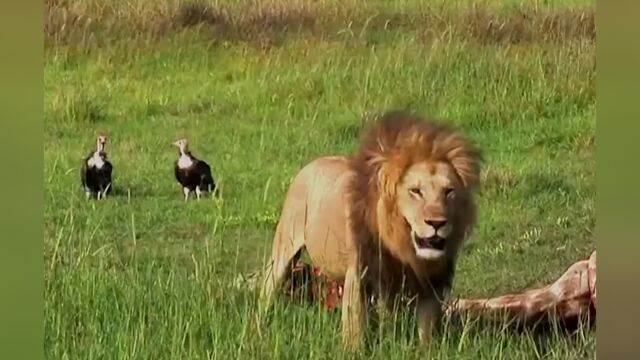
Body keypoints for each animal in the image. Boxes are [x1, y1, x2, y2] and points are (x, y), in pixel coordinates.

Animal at [260, 110, 480, 348]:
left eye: (449, 191)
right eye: (415, 191)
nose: (437, 223)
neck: (401, 242)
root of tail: (310, 165)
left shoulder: (428, 281)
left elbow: (427, 327)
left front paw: (426, 350)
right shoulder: (360, 271)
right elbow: (354, 325)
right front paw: (353, 350)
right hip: (285, 247)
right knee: (268, 287)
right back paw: (261, 323)